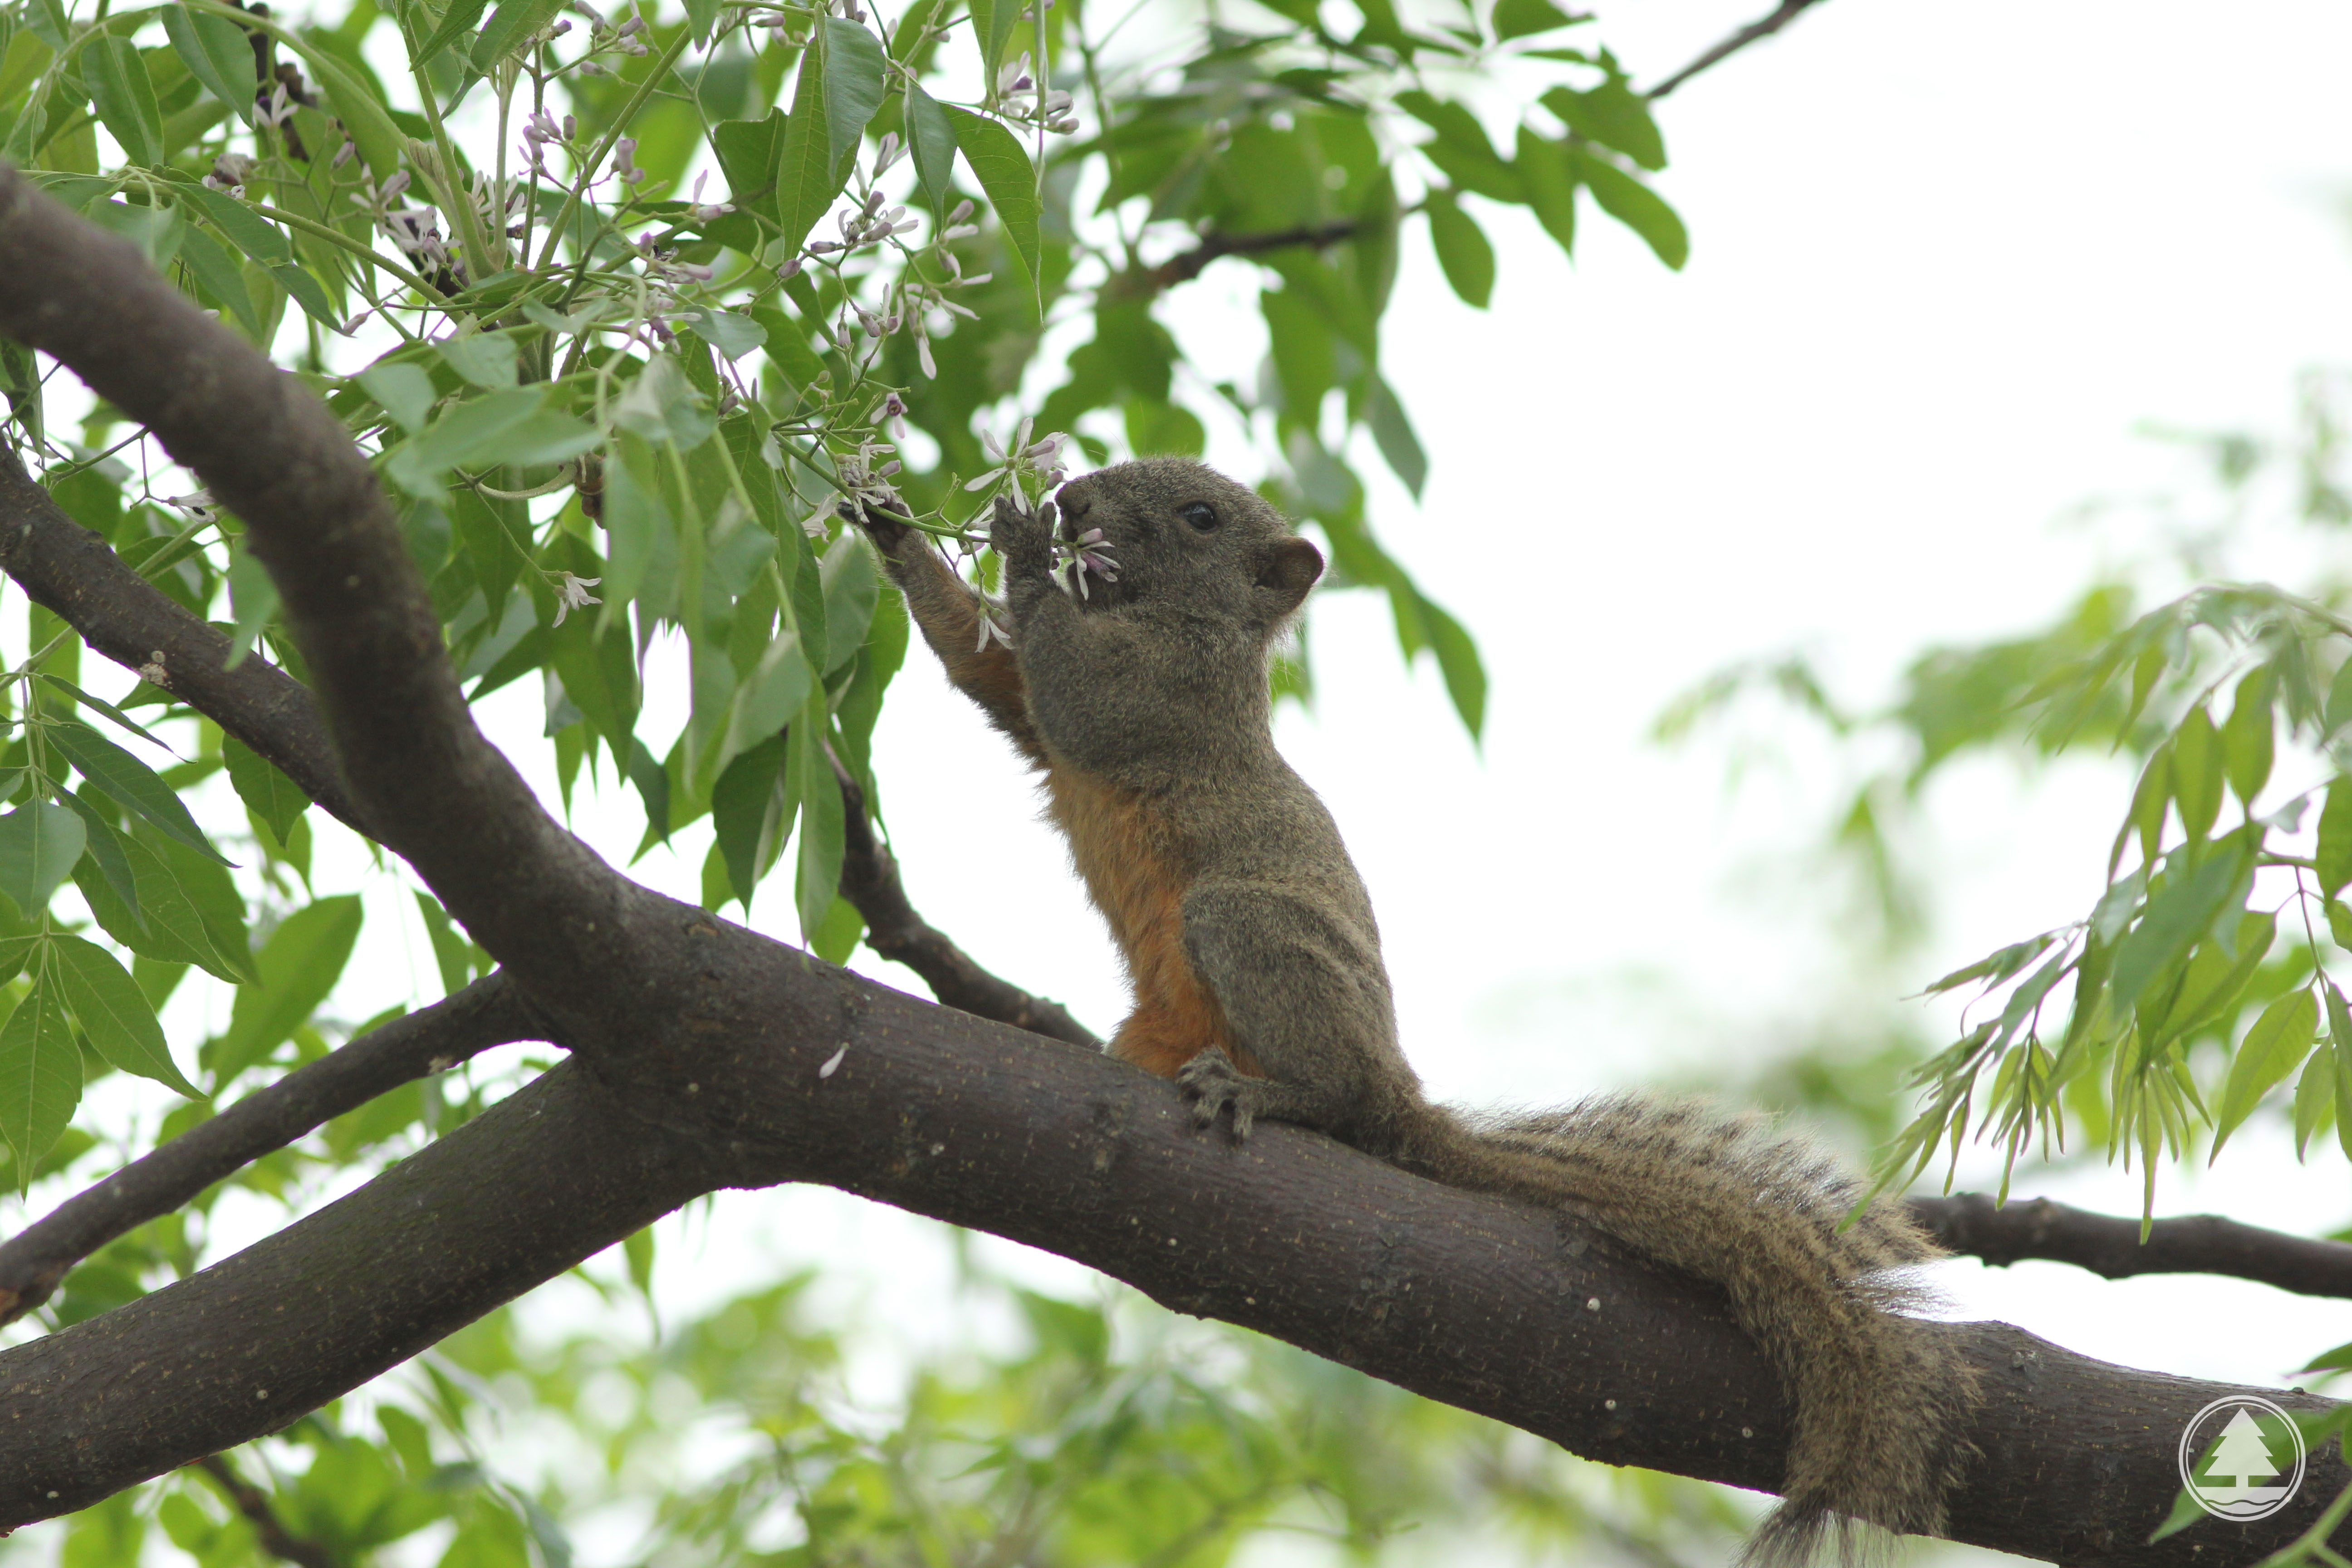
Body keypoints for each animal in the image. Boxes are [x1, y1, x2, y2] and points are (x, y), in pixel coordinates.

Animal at [856, 456, 1975, 1561]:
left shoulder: (1168, 698)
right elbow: (984, 669)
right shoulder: (1040, 711)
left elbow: (1072, 690)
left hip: (1245, 930)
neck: (1180, 623)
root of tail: (1401, 1089)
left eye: (1201, 515)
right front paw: (888, 522)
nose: (1073, 499)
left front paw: (1020, 543)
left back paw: (1272, 1095)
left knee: (1337, 1093)